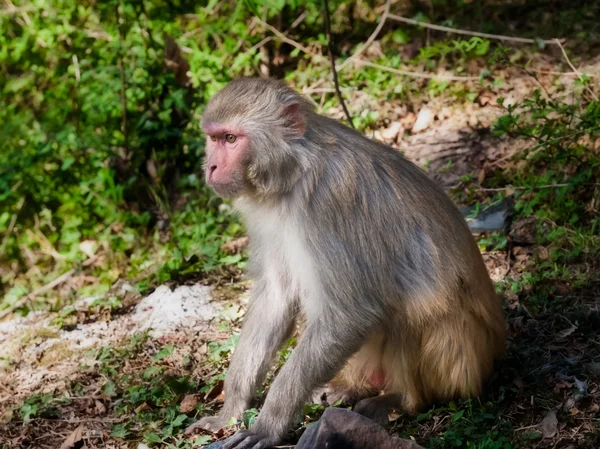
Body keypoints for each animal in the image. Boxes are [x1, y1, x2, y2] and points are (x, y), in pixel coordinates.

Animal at [184, 78, 506, 448]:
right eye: (213, 138)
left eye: (231, 139)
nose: (210, 167)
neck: (293, 172)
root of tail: (494, 355)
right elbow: (277, 297)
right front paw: (231, 410)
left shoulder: (328, 204)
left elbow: (352, 314)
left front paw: (268, 425)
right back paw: (348, 389)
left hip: (462, 363)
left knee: (412, 314)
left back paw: (399, 399)